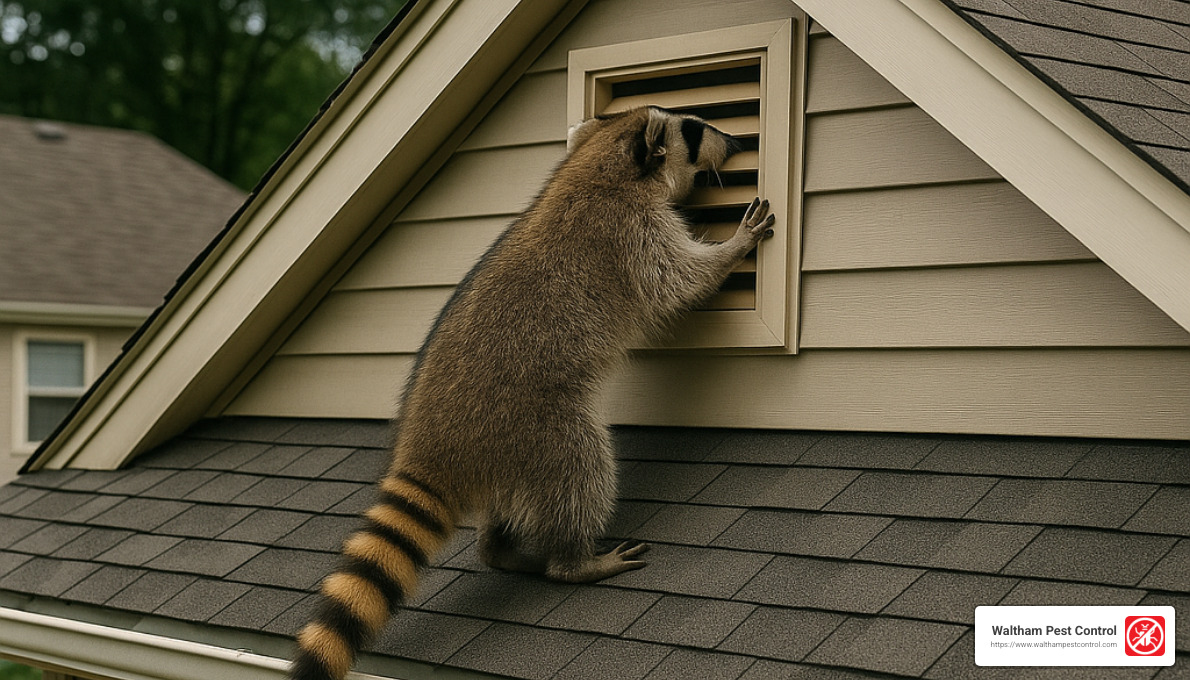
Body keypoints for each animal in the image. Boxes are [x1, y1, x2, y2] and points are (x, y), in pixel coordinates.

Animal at [290, 106, 776, 680]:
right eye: (697, 129)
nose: (736, 139)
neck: (599, 164)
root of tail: (428, 445)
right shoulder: (629, 232)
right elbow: (677, 280)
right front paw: (733, 248)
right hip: (534, 422)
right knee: (580, 467)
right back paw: (573, 560)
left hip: (509, 449)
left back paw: (499, 547)